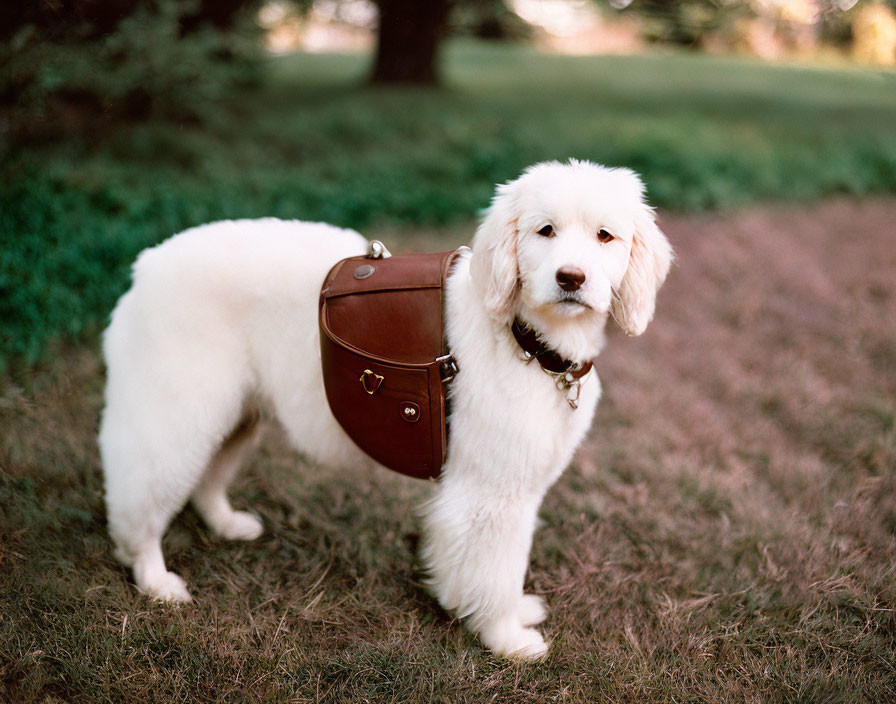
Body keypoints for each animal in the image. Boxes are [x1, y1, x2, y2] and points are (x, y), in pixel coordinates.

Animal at [100, 160, 672, 660]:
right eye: (545, 231)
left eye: (605, 236)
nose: (571, 278)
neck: (524, 339)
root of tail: (149, 263)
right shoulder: (488, 493)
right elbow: (495, 568)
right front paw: (505, 637)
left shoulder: (519, 488)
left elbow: (506, 565)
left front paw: (513, 614)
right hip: (176, 414)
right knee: (138, 501)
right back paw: (155, 580)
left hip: (236, 413)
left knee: (206, 480)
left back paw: (225, 524)